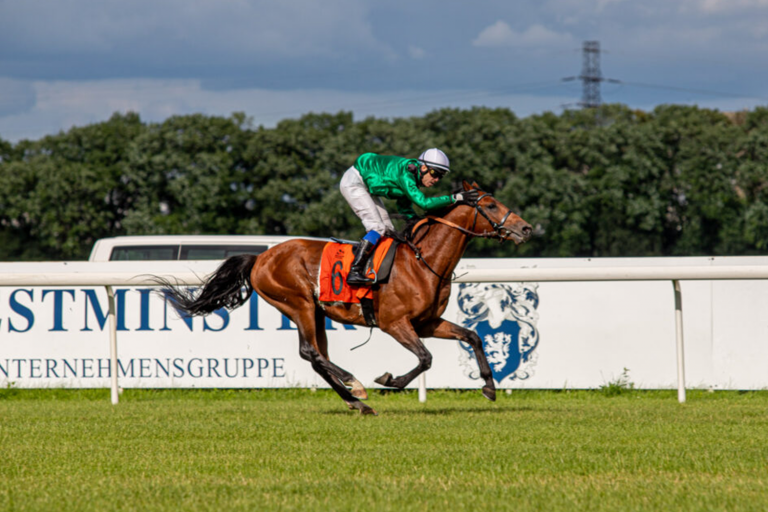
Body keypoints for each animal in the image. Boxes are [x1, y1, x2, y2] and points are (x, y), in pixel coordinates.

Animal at [160, 182, 536, 414]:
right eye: (490, 204)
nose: (526, 228)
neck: (422, 261)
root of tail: (261, 257)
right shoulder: (394, 323)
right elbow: (426, 358)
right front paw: (389, 381)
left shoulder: (426, 322)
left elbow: (472, 336)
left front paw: (489, 387)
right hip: (298, 303)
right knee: (311, 352)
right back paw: (356, 386)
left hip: (315, 312)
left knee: (316, 356)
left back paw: (356, 400)